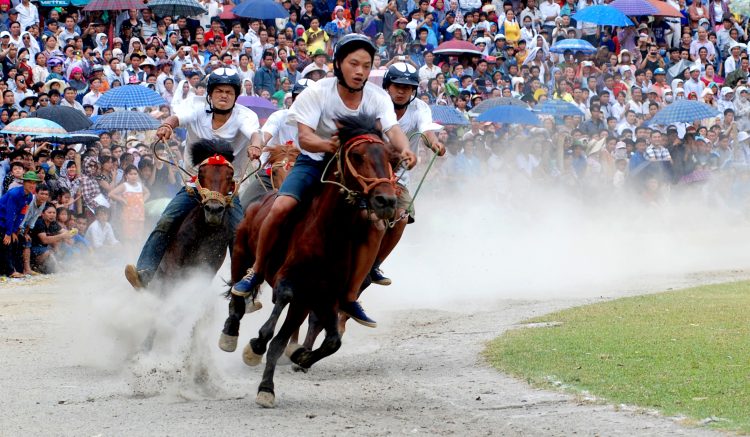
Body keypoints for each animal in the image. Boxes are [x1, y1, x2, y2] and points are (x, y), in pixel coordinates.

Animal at [220, 112, 402, 406]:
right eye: (357, 155)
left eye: (388, 155)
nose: (386, 200)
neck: (329, 233)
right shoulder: (290, 280)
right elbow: (280, 306)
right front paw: (256, 345)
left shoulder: (321, 297)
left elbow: (329, 340)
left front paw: (286, 369)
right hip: (240, 254)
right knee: (238, 296)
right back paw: (230, 333)